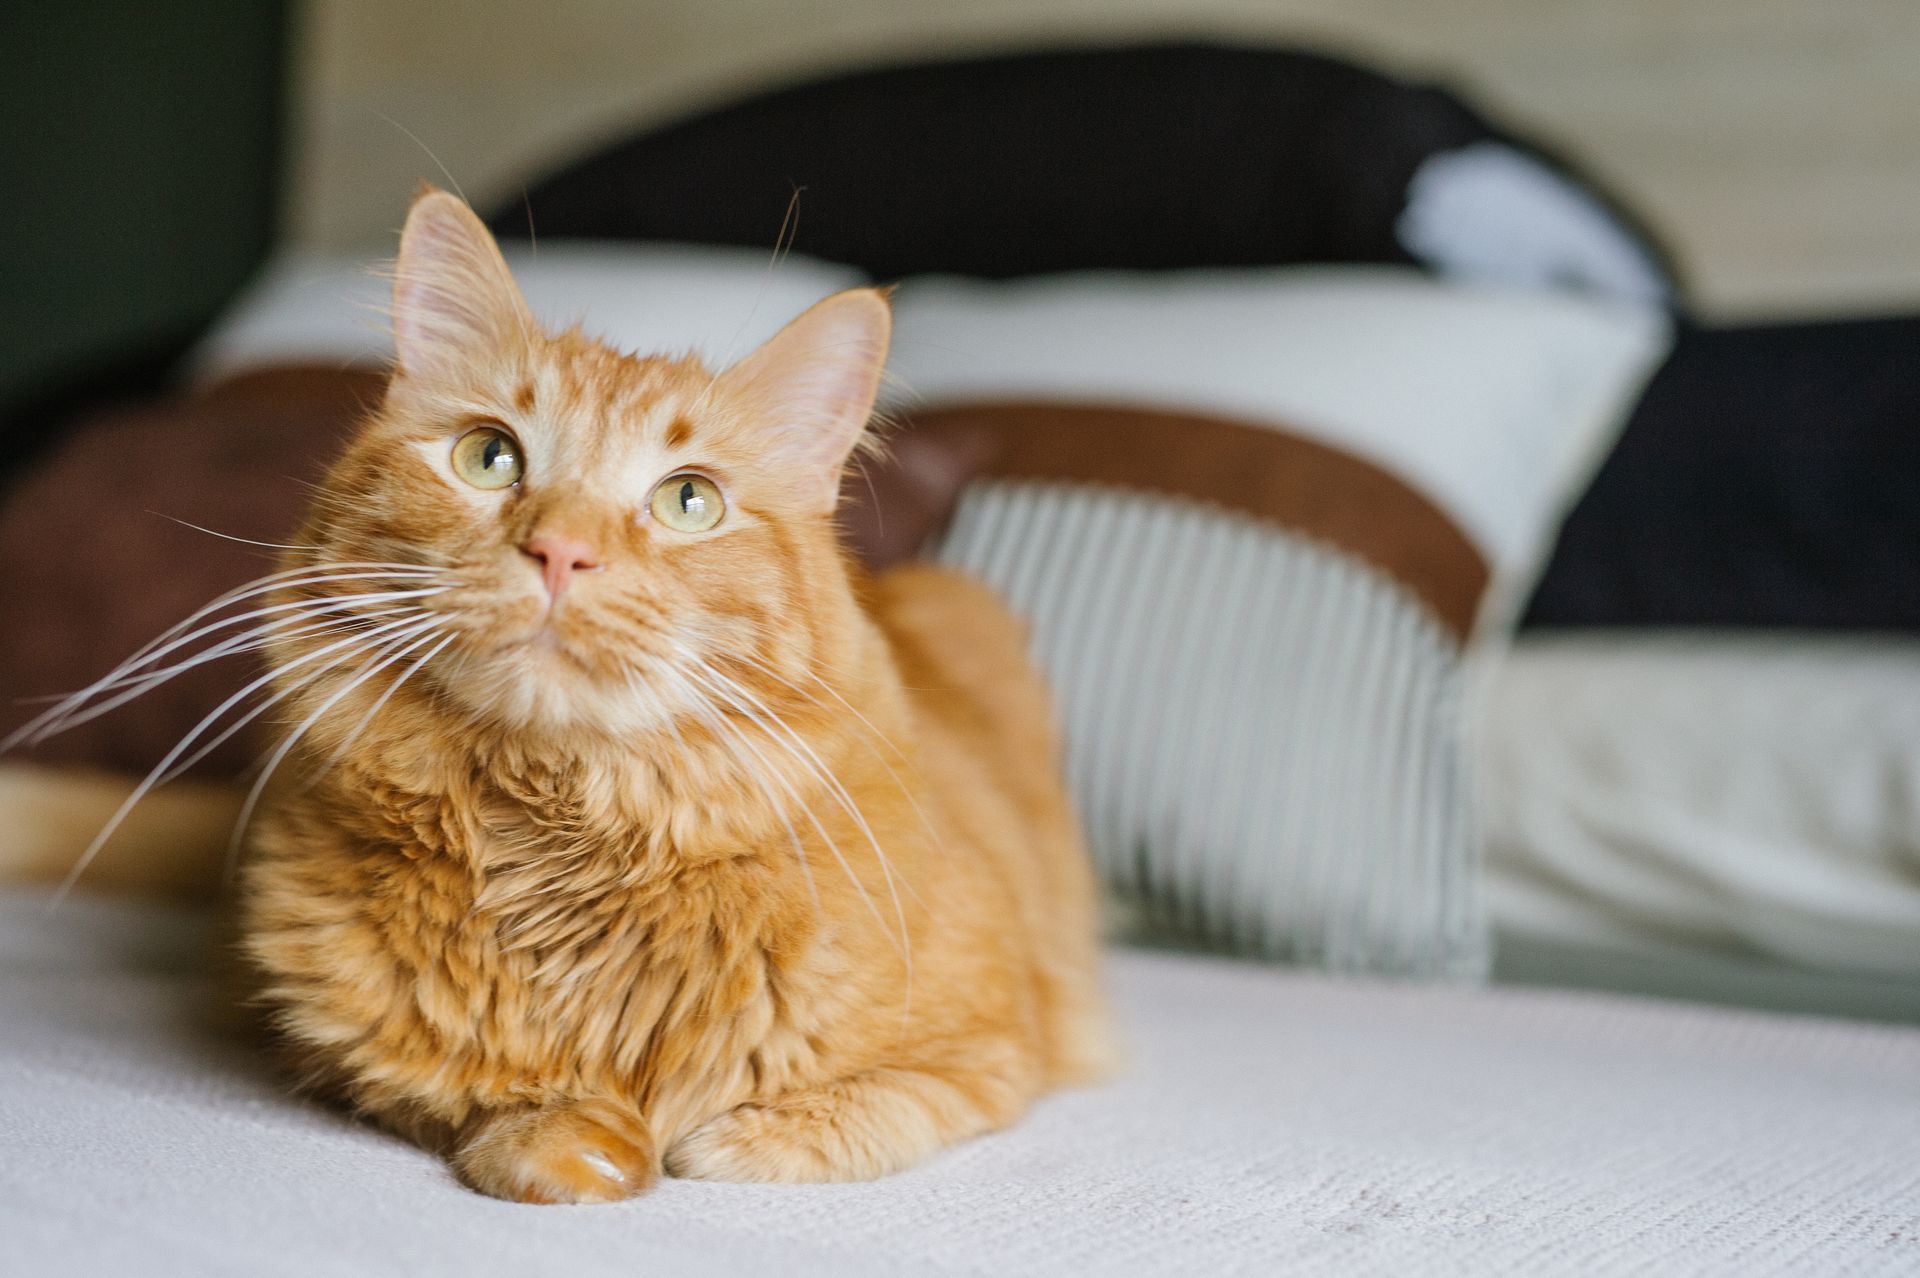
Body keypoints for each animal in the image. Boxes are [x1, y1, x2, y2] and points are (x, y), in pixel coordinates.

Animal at [236, 189, 1113, 1197]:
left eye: (688, 502)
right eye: (489, 457)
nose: (562, 550)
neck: (556, 853)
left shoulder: (992, 1047)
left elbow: (830, 1117)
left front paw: (713, 1139)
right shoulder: (337, 1051)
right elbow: (469, 1098)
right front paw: (568, 1139)